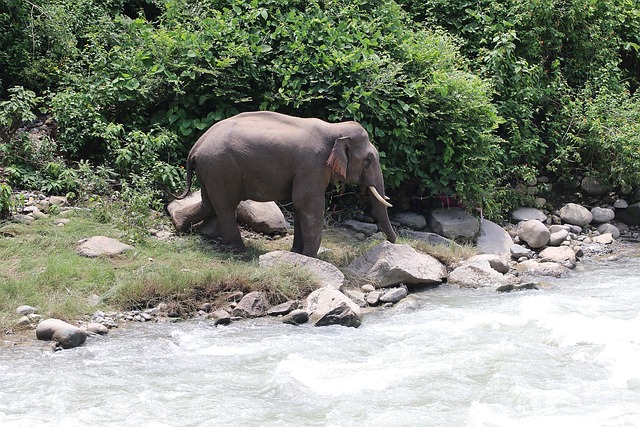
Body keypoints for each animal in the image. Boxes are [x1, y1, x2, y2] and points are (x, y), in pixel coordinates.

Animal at [172, 111, 398, 258]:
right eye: (368, 160)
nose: (392, 242)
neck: (334, 128)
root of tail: (196, 147)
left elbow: (299, 206)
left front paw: (297, 254)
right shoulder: (311, 165)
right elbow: (308, 205)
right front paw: (310, 257)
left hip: (210, 170)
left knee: (210, 203)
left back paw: (179, 224)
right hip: (221, 167)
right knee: (226, 207)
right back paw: (241, 252)